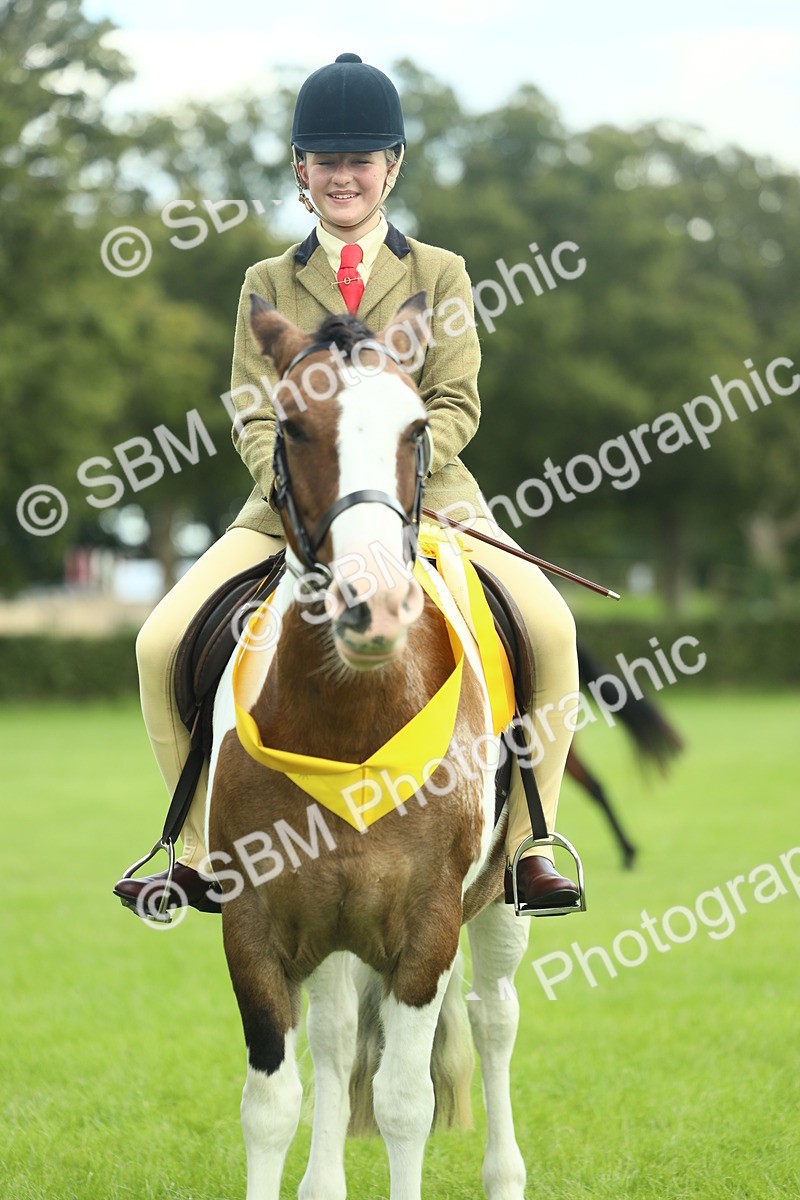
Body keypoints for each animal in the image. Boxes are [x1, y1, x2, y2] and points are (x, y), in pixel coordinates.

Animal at [205, 293, 532, 1200]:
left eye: (416, 426)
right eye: (289, 424)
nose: (373, 606)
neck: (351, 728)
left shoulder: (429, 924)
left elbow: (403, 1103)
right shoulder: (255, 920)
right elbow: (271, 1102)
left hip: (500, 897)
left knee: (494, 1019)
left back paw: (505, 1174)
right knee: (337, 1034)